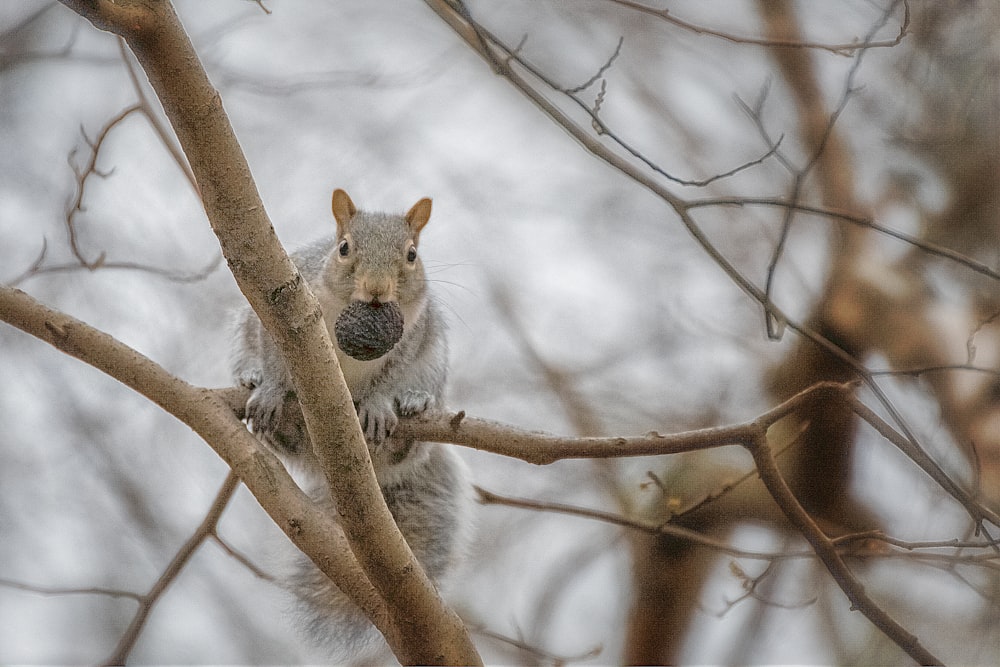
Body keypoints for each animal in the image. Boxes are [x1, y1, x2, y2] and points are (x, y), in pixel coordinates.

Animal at [230, 190, 472, 660]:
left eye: (412, 255)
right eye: (343, 248)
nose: (377, 290)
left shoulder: (414, 336)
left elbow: (390, 376)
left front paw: (380, 404)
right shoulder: (272, 320)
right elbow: (274, 359)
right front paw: (269, 389)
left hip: (433, 367)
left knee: (413, 436)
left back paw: (412, 410)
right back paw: (265, 406)